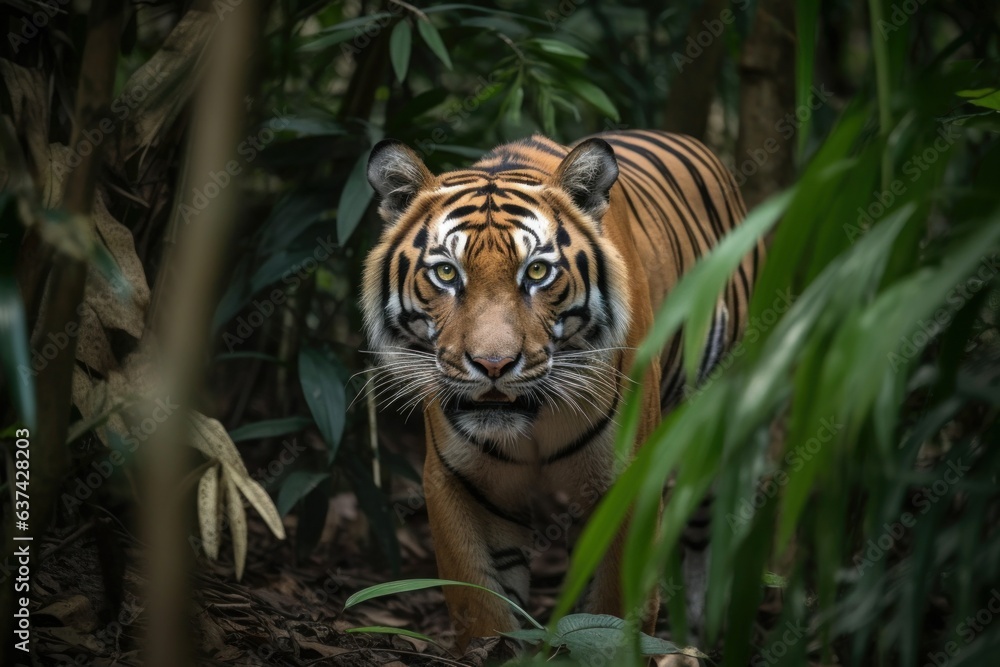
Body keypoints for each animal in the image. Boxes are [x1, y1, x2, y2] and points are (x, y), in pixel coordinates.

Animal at [361, 130, 762, 649]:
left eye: (537, 272)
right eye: (446, 273)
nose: (493, 364)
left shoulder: (627, 476)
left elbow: (616, 605)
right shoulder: (459, 480)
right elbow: (480, 604)